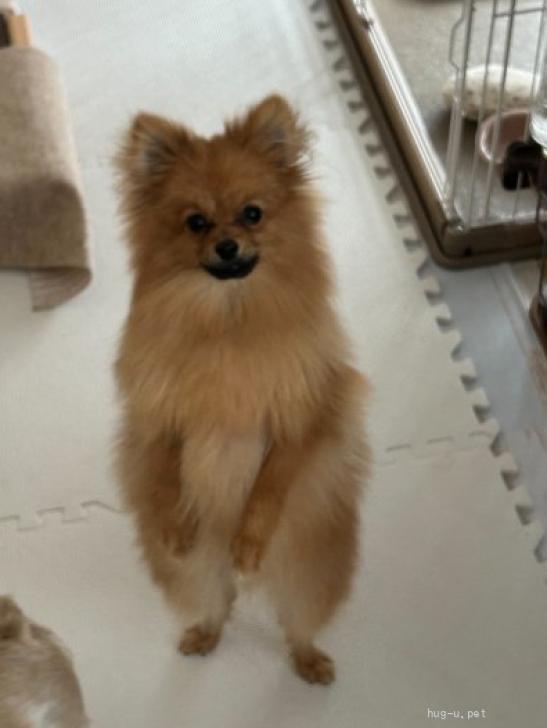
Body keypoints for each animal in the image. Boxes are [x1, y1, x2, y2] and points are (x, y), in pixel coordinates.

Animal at [114, 94, 369, 684]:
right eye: (196, 223)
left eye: (253, 213)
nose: (227, 245)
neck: (228, 319)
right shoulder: (161, 417)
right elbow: (165, 470)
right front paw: (176, 524)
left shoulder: (299, 421)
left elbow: (270, 484)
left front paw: (249, 542)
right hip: (195, 577)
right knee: (216, 605)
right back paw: (205, 633)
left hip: (309, 577)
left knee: (298, 624)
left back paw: (308, 660)